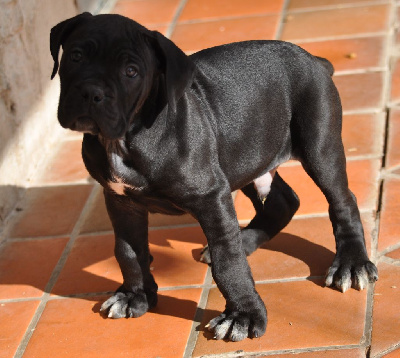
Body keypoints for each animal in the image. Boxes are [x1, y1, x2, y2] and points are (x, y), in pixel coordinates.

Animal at [50, 11, 378, 342]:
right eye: (75, 56)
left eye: (131, 71)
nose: (91, 92)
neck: (122, 139)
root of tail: (313, 59)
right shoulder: (121, 201)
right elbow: (128, 251)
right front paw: (135, 295)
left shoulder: (211, 196)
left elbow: (228, 263)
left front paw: (243, 316)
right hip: (246, 156)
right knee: (284, 201)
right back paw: (245, 239)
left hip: (319, 145)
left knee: (342, 200)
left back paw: (351, 264)